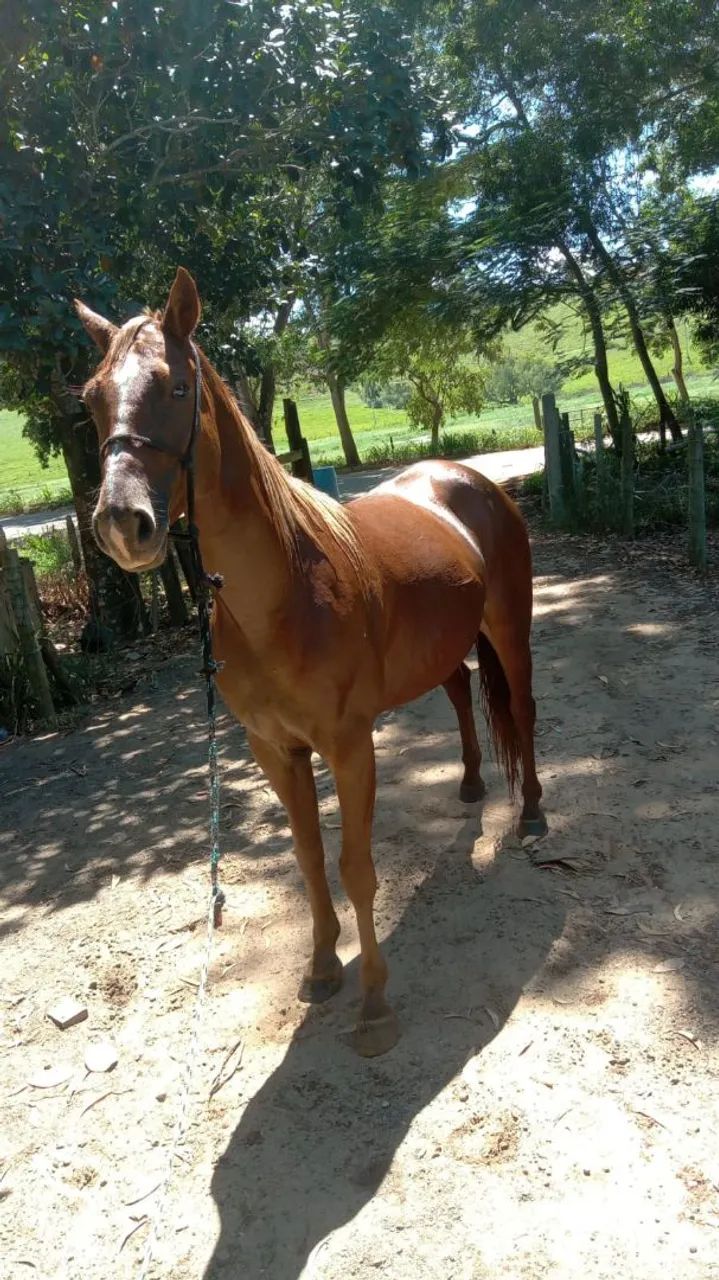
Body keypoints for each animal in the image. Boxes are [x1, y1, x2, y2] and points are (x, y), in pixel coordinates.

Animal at [75, 267, 546, 1057]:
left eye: (177, 386)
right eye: (91, 396)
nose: (121, 524)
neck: (283, 597)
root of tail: (468, 479)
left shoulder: (349, 746)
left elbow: (356, 868)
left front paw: (374, 1006)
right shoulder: (274, 749)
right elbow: (308, 861)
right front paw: (323, 968)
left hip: (510, 628)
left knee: (524, 707)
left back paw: (534, 813)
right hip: (445, 646)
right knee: (459, 694)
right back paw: (472, 784)